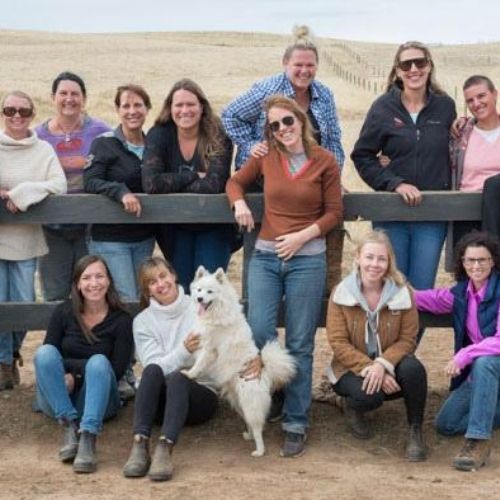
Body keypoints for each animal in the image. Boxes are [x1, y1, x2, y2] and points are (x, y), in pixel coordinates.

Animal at [183, 266, 294, 458]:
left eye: (209, 292)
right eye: (199, 290)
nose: (199, 299)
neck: (218, 310)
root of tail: (264, 372)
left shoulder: (210, 349)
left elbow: (200, 363)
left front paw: (190, 374)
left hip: (250, 403)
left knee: (258, 428)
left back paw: (259, 450)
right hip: (239, 402)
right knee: (251, 423)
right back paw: (248, 435)